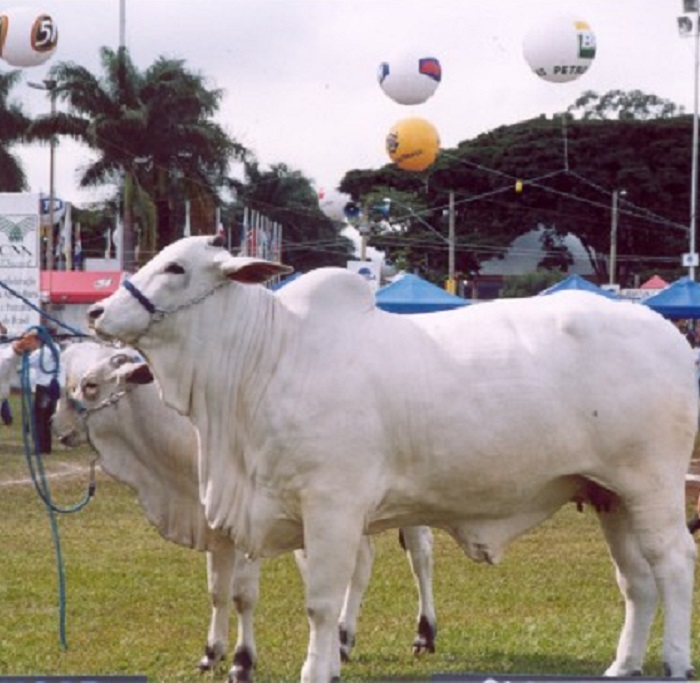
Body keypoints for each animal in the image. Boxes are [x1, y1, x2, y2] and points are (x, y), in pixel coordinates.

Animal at [52, 341, 436, 680]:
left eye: (89, 385)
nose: (58, 428)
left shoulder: (251, 527)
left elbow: (243, 595)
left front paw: (243, 661)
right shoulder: (215, 526)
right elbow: (217, 590)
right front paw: (211, 652)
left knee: (419, 558)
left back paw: (423, 633)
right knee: (361, 565)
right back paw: (343, 638)